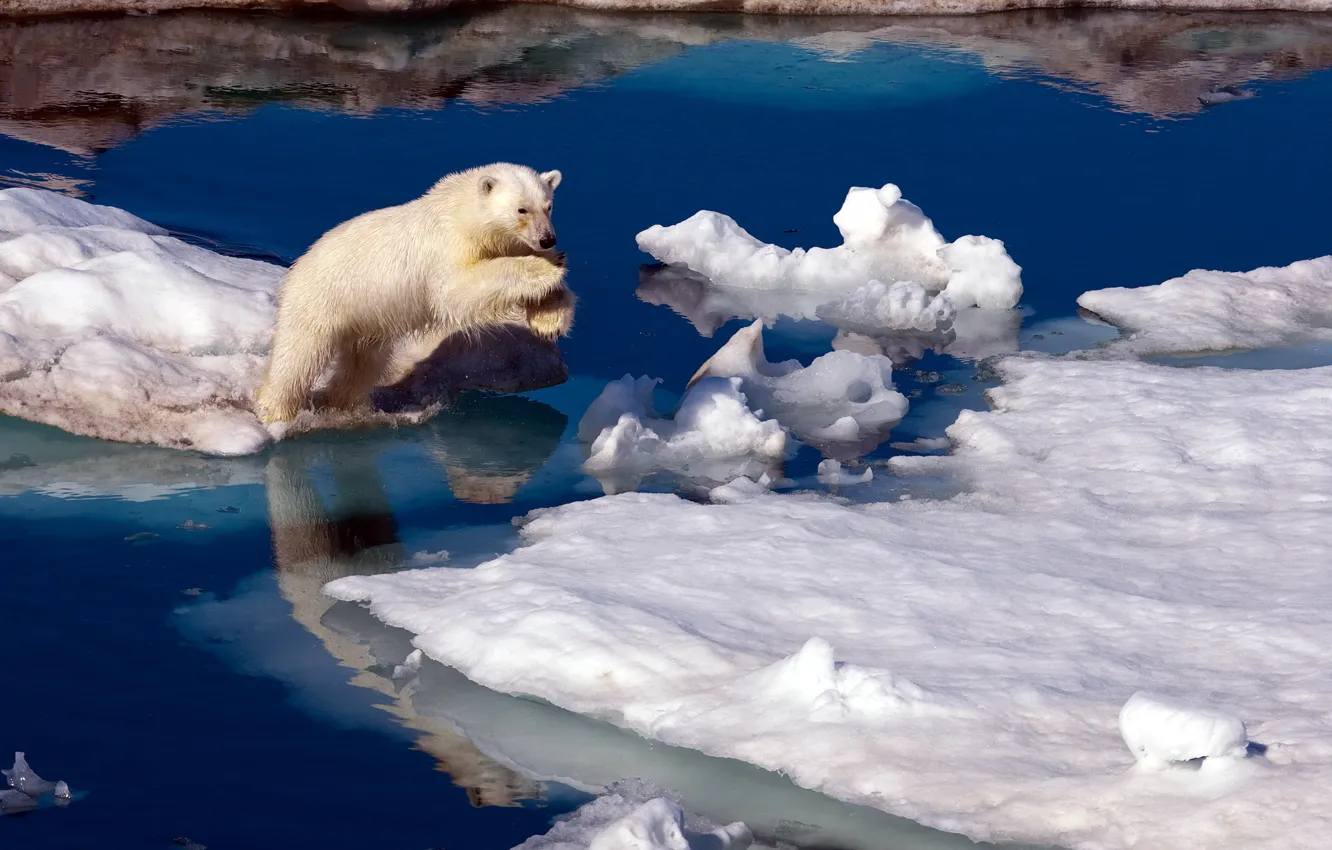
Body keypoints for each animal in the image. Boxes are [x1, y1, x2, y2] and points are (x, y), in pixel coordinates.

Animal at [254, 162, 574, 424]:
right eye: (522, 209)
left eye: (548, 206)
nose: (548, 239)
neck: (462, 212)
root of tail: (297, 267)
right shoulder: (448, 245)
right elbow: (458, 289)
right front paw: (548, 267)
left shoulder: (506, 242)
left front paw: (549, 321)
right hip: (320, 300)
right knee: (297, 357)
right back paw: (274, 411)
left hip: (366, 320)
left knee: (363, 363)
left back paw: (344, 404)